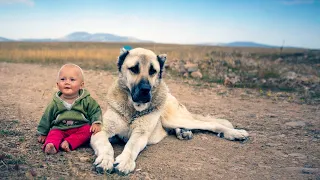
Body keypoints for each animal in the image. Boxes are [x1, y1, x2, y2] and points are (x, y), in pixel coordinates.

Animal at [90, 47, 250, 175]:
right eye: (134, 69)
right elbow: (106, 145)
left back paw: (235, 133)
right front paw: (105, 160)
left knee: (210, 124)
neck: (133, 110)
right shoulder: (101, 130)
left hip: (173, 119)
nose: (145, 90)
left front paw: (125, 161)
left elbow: (131, 146)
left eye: (153, 71)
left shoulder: (140, 134)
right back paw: (183, 132)